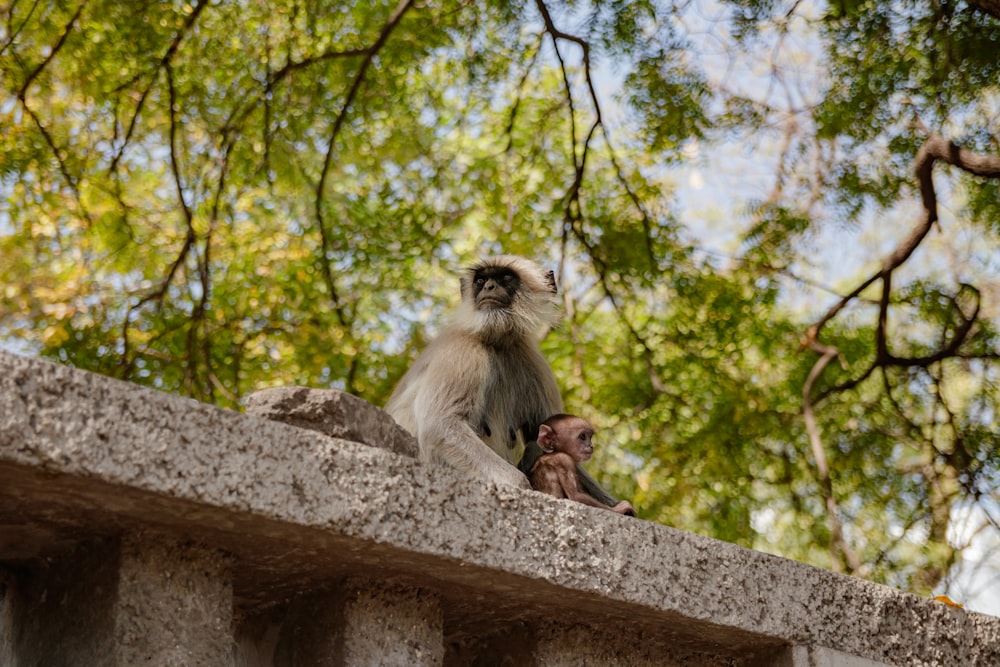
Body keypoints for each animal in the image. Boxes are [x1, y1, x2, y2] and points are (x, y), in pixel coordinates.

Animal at [382, 253, 616, 508]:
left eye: (505, 278)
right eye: (481, 280)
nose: (489, 287)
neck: (497, 341)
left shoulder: (532, 360)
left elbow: (547, 435)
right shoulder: (464, 350)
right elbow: (440, 424)